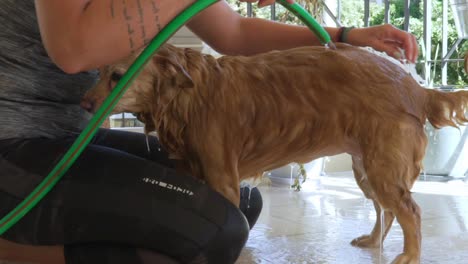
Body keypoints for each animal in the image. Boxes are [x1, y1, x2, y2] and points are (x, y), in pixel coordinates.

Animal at [82, 43, 468, 264]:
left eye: (117, 76)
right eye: (98, 73)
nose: (84, 104)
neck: (189, 96)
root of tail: (417, 87)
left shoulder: (223, 181)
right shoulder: (193, 173)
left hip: (381, 167)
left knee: (410, 211)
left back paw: (410, 255)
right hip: (367, 169)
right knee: (386, 212)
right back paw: (373, 242)